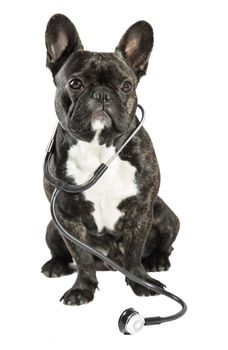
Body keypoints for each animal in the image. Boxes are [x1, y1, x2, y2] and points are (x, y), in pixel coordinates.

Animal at [41, 13, 180, 304]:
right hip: (51, 226)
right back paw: (55, 265)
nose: (102, 93)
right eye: (75, 83)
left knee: (166, 245)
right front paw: (82, 288)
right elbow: (82, 257)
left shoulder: (141, 211)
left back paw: (158, 261)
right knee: (62, 252)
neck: (98, 146)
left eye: (126, 86)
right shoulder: (65, 218)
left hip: (165, 213)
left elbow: (134, 253)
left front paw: (141, 283)